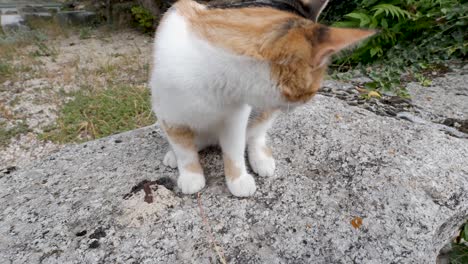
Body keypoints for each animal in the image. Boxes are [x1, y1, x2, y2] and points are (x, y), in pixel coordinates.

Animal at [151, 0, 376, 196]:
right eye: (308, 93)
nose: (300, 106)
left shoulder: (236, 118)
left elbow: (234, 148)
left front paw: (238, 179)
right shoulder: (169, 116)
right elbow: (184, 150)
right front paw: (191, 175)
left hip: (263, 112)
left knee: (256, 133)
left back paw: (260, 158)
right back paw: (174, 154)